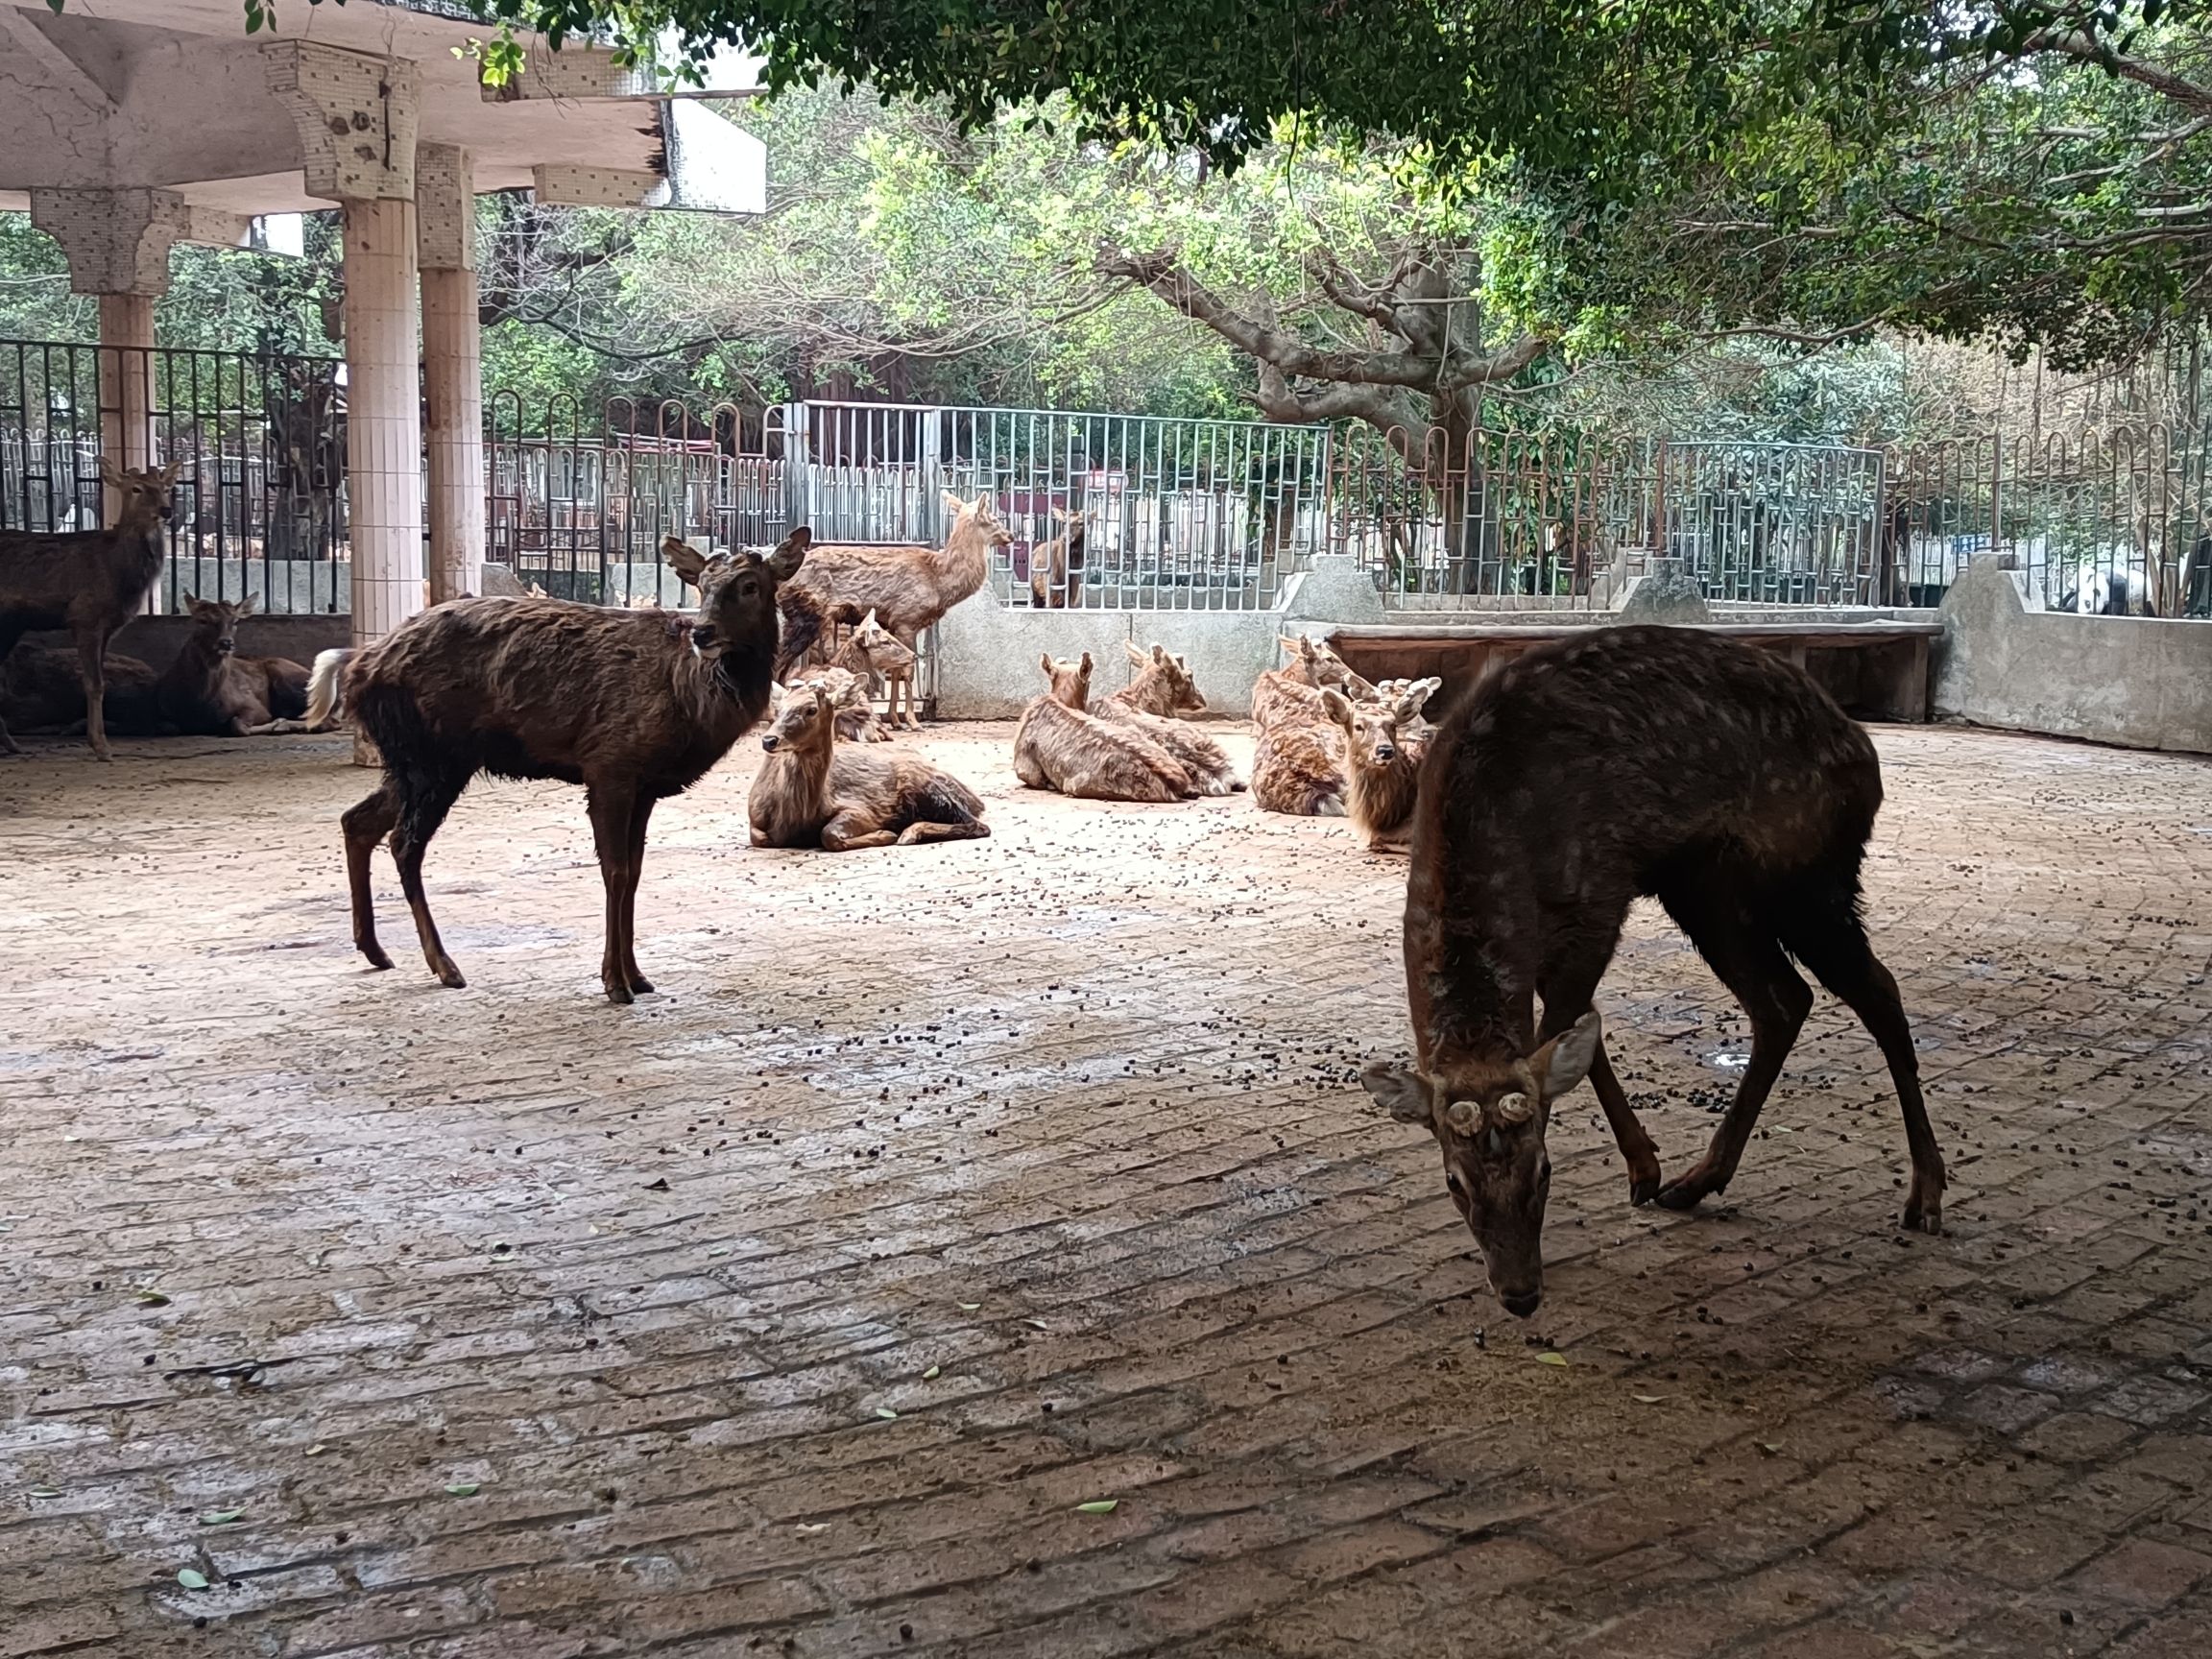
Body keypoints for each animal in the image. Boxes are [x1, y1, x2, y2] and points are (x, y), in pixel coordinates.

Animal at [0, 458, 180, 759]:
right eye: (136, 488)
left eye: (167, 488)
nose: (166, 510)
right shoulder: (85, 617)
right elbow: (93, 684)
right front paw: (101, 746)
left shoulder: (108, 627)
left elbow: (101, 682)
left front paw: (98, 742)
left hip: (12, 625)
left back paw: (12, 744)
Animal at [336, 528, 810, 1004]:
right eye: (702, 585)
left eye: (750, 585)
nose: (703, 632)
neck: (691, 702)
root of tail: (358, 671)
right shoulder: (610, 764)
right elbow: (615, 871)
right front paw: (615, 982)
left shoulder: (645, 786)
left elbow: (635, 873)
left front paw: (637, 975)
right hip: (433, 756)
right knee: (403, 843)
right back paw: (444, 965)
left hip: (415, 759)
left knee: (357, 820)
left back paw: (375, 949)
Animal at [748, 679, 990, 850]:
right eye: (778, 709)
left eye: (811, 709)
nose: (769, 740)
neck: (794, 817)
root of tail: (975, 799)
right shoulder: (754, 818)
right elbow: (759, 837)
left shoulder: (863, 809)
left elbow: (829, 834)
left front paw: (884, 834)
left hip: (926, 787)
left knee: (978, 825)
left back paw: (909, 832)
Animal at [1358, 625, 1943, 1319]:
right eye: (1454, 1181)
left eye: (1544, 1171)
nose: (1520, 1293)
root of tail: (1864, 752)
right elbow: (1578, 1033)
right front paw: (1647, 1170)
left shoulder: (1598, 897)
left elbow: (1569, 1028)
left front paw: (1643, 1167)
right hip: (1708, 888)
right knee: (1784, 999)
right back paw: (1699, 1181)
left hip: (1809, 874)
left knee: (1877, 990)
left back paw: (1926, 1193)